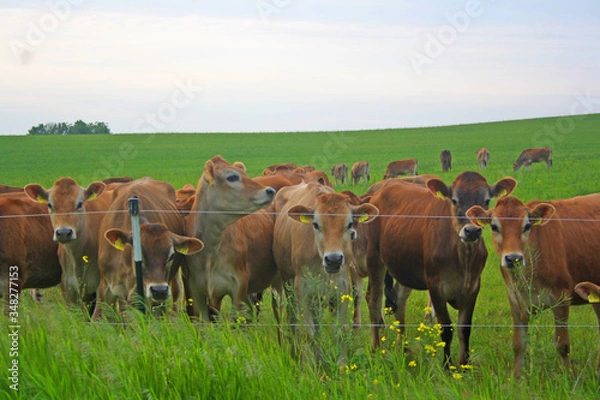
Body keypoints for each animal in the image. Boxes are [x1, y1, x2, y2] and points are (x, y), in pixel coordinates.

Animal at [274, 184, 378, 362]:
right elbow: (310, 332)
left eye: (350, 224)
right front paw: (312, 363)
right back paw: (296, 350)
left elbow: (339, 331)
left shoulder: (341, 289)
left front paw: (340, 364)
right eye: (316, 224)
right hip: (288, 283)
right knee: (292, 318)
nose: (333, 259)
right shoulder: (303, 290)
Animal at [366, 170, 516, 368]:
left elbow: (465, 328)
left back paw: (404, 349)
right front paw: (447, 365)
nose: (471, 231)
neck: (463, 258)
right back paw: (375, 349)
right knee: (373, 300)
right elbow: (446, 328)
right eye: (454, 200)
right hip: (374, 259)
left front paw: (464, 364)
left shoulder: (474, 286)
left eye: (486, 201)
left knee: (400, 302)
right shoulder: (435, 286)